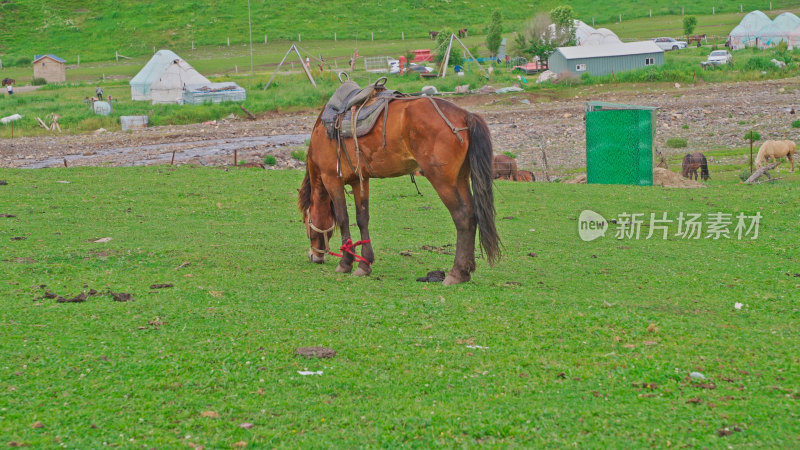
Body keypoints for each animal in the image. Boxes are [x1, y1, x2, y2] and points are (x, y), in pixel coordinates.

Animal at [300, 96, 500, 284]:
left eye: (307, 222)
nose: (313, 256)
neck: (322, 134)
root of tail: (465, 115)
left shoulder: (332, 178)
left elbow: (343, 218)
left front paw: (345, 263)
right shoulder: (359, 181)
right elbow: (362, 219)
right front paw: (364, 264)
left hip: (443, 181)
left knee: (463, 216)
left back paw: (457, 273)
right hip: (461, 179)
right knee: (472, 214)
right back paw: (466, 270)